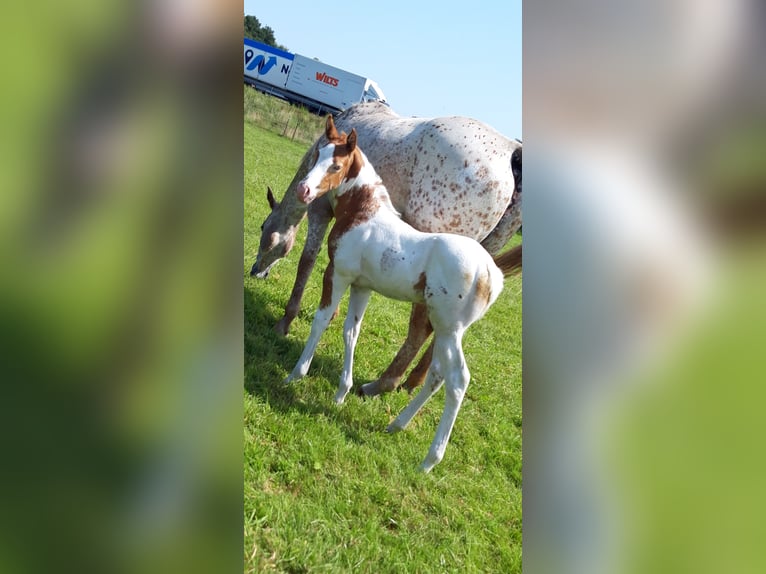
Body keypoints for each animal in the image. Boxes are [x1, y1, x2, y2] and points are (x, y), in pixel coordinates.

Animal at [251, 101, 521, 396]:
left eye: (264, 228)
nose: (256, 271)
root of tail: (511, 150)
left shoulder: (320, 210)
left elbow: (307, 261)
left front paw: (285, 322)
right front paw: (333, 315)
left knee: (422, 330)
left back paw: (384, 382)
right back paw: (410, 381)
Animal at [284, 115, 521, 472]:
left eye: (336, 165)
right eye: (317, 156)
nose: (304, 189)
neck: (365, 214)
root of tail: (491, 273)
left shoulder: (337, 274)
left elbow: (322, 321)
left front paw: (296, 375)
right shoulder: (362, 286)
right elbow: (351, 331)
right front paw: (341, 393)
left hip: (449, 328)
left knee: (457, 380)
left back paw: (429, 460)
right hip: (447, 328)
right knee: (436, 375)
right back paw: (396, 424)